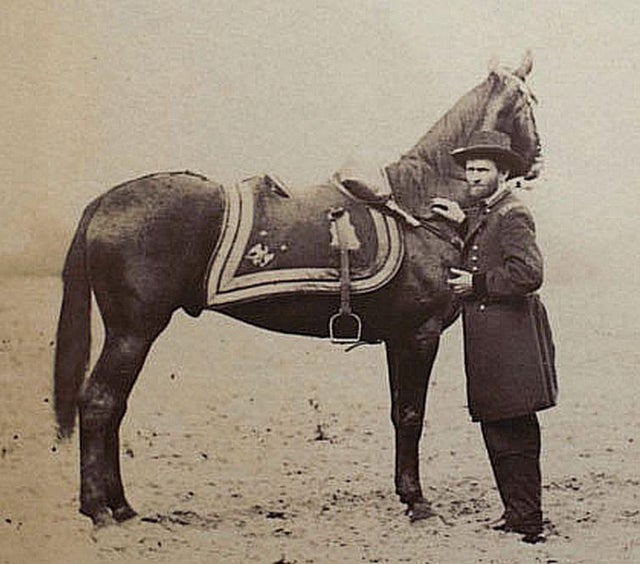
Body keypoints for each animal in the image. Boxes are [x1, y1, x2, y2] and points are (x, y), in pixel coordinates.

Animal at [53, 53, 542, 527]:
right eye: (529, 102)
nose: (538, 158)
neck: (417, 204)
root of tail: (104, 201)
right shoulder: (420, 335)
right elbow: (411, 416)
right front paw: (417, 501)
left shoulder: (397, 338)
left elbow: (397, 413)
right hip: (133, 332)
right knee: (99, 403)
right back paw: (99, 509)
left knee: (113, 408)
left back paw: (120, 506)